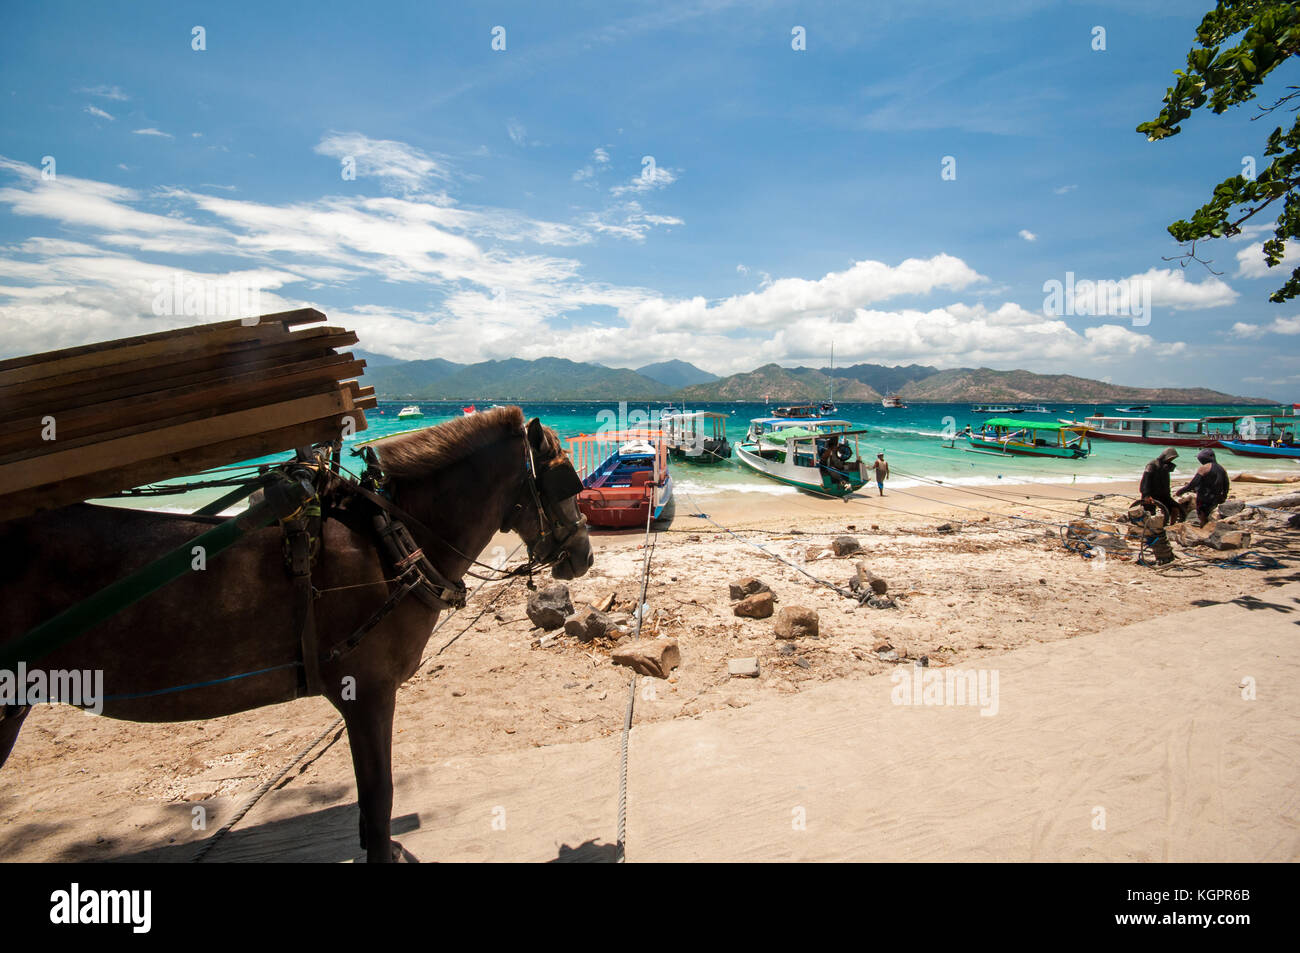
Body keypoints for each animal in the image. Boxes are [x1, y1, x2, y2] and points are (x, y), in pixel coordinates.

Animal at [0, 403, 590, 863]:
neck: (391, 541)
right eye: (565, 480)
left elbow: (370, 809)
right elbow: (379, 803)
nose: (583, 553)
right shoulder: (368, 693)